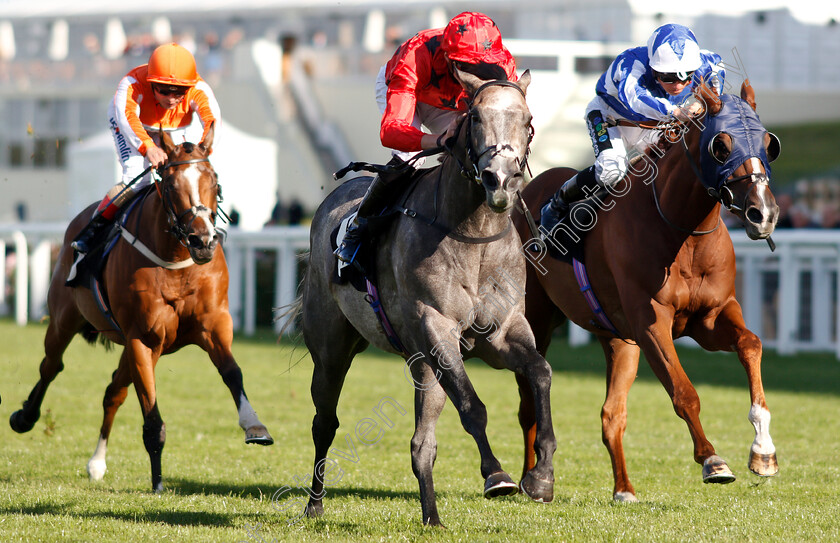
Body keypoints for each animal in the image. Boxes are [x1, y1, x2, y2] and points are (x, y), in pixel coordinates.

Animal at [9, 124, 272, 492]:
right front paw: (158, 482)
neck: (176, 261)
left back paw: (97, 462)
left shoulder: (213, 325)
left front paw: (255, 426)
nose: (203, 242)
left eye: (215, 181)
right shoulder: (143, 339)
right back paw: (25, 417)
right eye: (172, 186)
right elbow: (152, 415)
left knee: (113, 392)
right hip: (64, 320)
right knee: (51, 366)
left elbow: (233, 373)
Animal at [296, 67, 556, 528]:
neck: (473, 234)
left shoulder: (502, 333)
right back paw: (315, 503)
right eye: (474, 117)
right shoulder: (436, 328)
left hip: (422, 365)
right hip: (331, 351)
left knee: (422, 443)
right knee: (324, 423)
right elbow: (473, 406)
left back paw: (432, 517)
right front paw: (497, 475)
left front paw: (541, 477)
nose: (500, 181)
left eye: (527, 120)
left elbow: (540, 372)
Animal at [512, 82, 780, 506]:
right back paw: (532, 478)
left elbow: (750, 344)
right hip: (536, 320)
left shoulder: (709, 318)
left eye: (770, 144)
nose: (763, 214)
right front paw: (712, 460)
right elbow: (684, 393)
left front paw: (763, 450)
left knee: (611, 414)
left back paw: (623, 488)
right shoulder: (652, 323)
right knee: (528, 402)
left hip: (619, 340)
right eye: (721, 145)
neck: (682, 233)